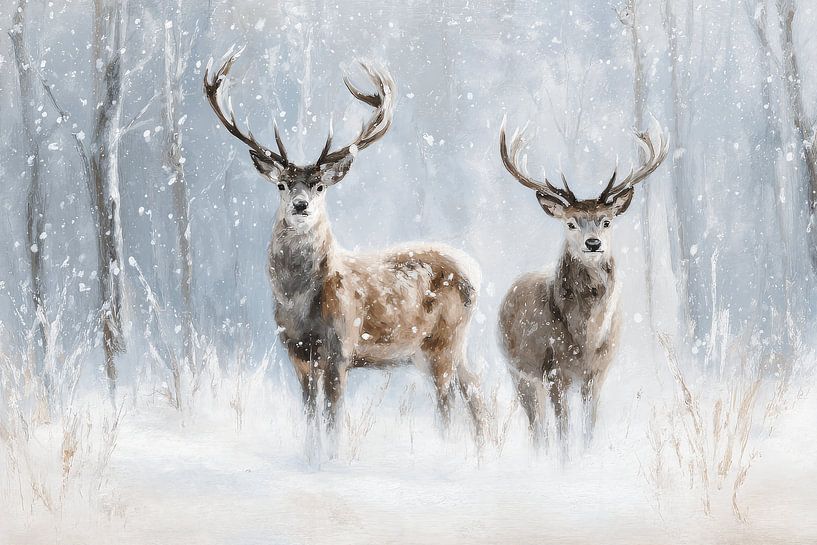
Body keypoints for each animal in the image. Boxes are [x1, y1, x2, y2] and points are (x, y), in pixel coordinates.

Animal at [204, 49, 487, 440]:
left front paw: (332, 453)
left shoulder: (340, 349)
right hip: (450, 347)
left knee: (448, 403)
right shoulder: (296, 353)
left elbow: (332, 417)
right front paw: (310, 452)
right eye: (282, 184)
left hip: (444, 341)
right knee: (475, 390)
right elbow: (310, 417)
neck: (299, 303)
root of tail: (474, 270)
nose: (301, 205)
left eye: (320, 185)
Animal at [497, 115, 668, 453]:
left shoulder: (597, 373)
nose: (593, 243)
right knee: (537, 426)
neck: (585, 339)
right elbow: (563, 431)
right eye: (571, 223)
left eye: (606, 221)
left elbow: (589, 427)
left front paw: (587, 456)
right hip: (519, 372)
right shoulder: (553, 371)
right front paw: (565, 462)